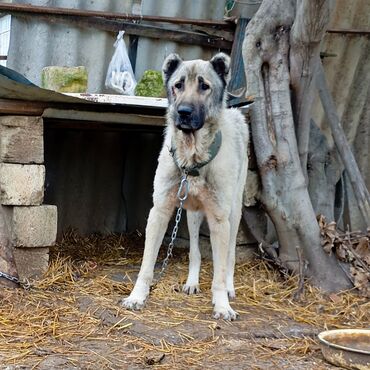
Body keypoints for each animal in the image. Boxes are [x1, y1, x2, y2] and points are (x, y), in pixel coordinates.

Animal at [121, 52, 249, 320]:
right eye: (178, 85)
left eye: (204, 86)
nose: (184, 112)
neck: (192, 157)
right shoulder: (159, 211)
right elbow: (147, 265)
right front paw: (137, 296)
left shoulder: (220, 220)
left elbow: (219, 272)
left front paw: (222, 305)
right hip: (192, 215)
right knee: (195, 252)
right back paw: (191, 282)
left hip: (233, 213)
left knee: (230, 256)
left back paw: (229, 288)